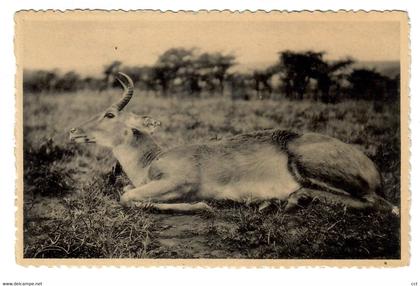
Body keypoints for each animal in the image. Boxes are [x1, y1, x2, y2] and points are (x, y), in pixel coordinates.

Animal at [69, 72, 400, 216]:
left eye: (110, 114)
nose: (73, 131)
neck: (152, 161)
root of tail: (373, 169)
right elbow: (127, 192)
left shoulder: (178, 181)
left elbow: (126, 196)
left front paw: (202, 205)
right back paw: (274, 202)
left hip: (311, 166)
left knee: (385, 205)